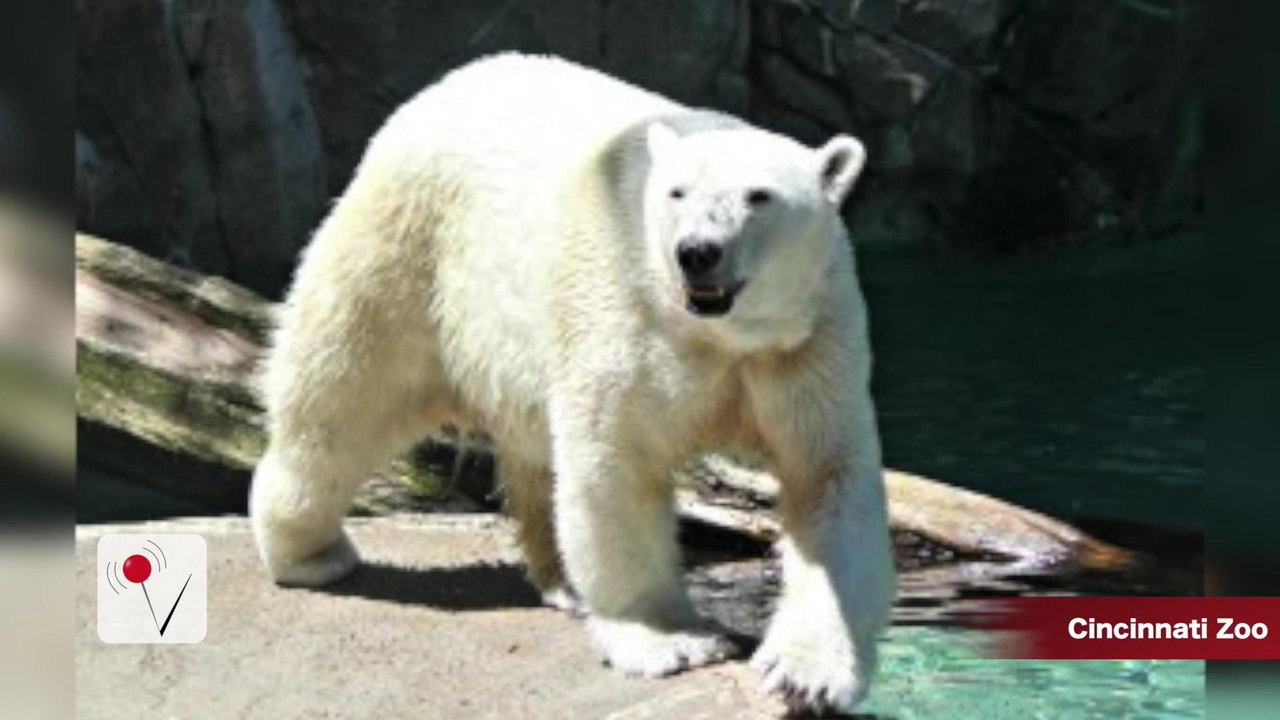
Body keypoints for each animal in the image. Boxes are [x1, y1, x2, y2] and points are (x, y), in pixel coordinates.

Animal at [249, 53, 896, 714]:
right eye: (677, 192)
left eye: (759, 195)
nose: (697, 252)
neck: (719, 335)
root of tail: (442, 88)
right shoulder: (628, 314)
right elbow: (617, 464)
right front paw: (670, 642)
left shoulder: (804, 348)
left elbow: (827, 481)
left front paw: (806, 673)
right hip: (410, 253)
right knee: (343, 394)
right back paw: (309, 550)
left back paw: (560, 582)